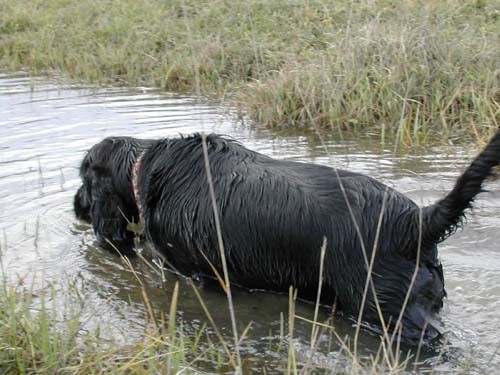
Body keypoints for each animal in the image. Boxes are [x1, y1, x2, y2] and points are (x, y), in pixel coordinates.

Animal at [73, 131, 500, 344]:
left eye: (84, 178)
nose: (77, 206)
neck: (147, 168)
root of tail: (415, 221)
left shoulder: (202, 275)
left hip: (386, 309)